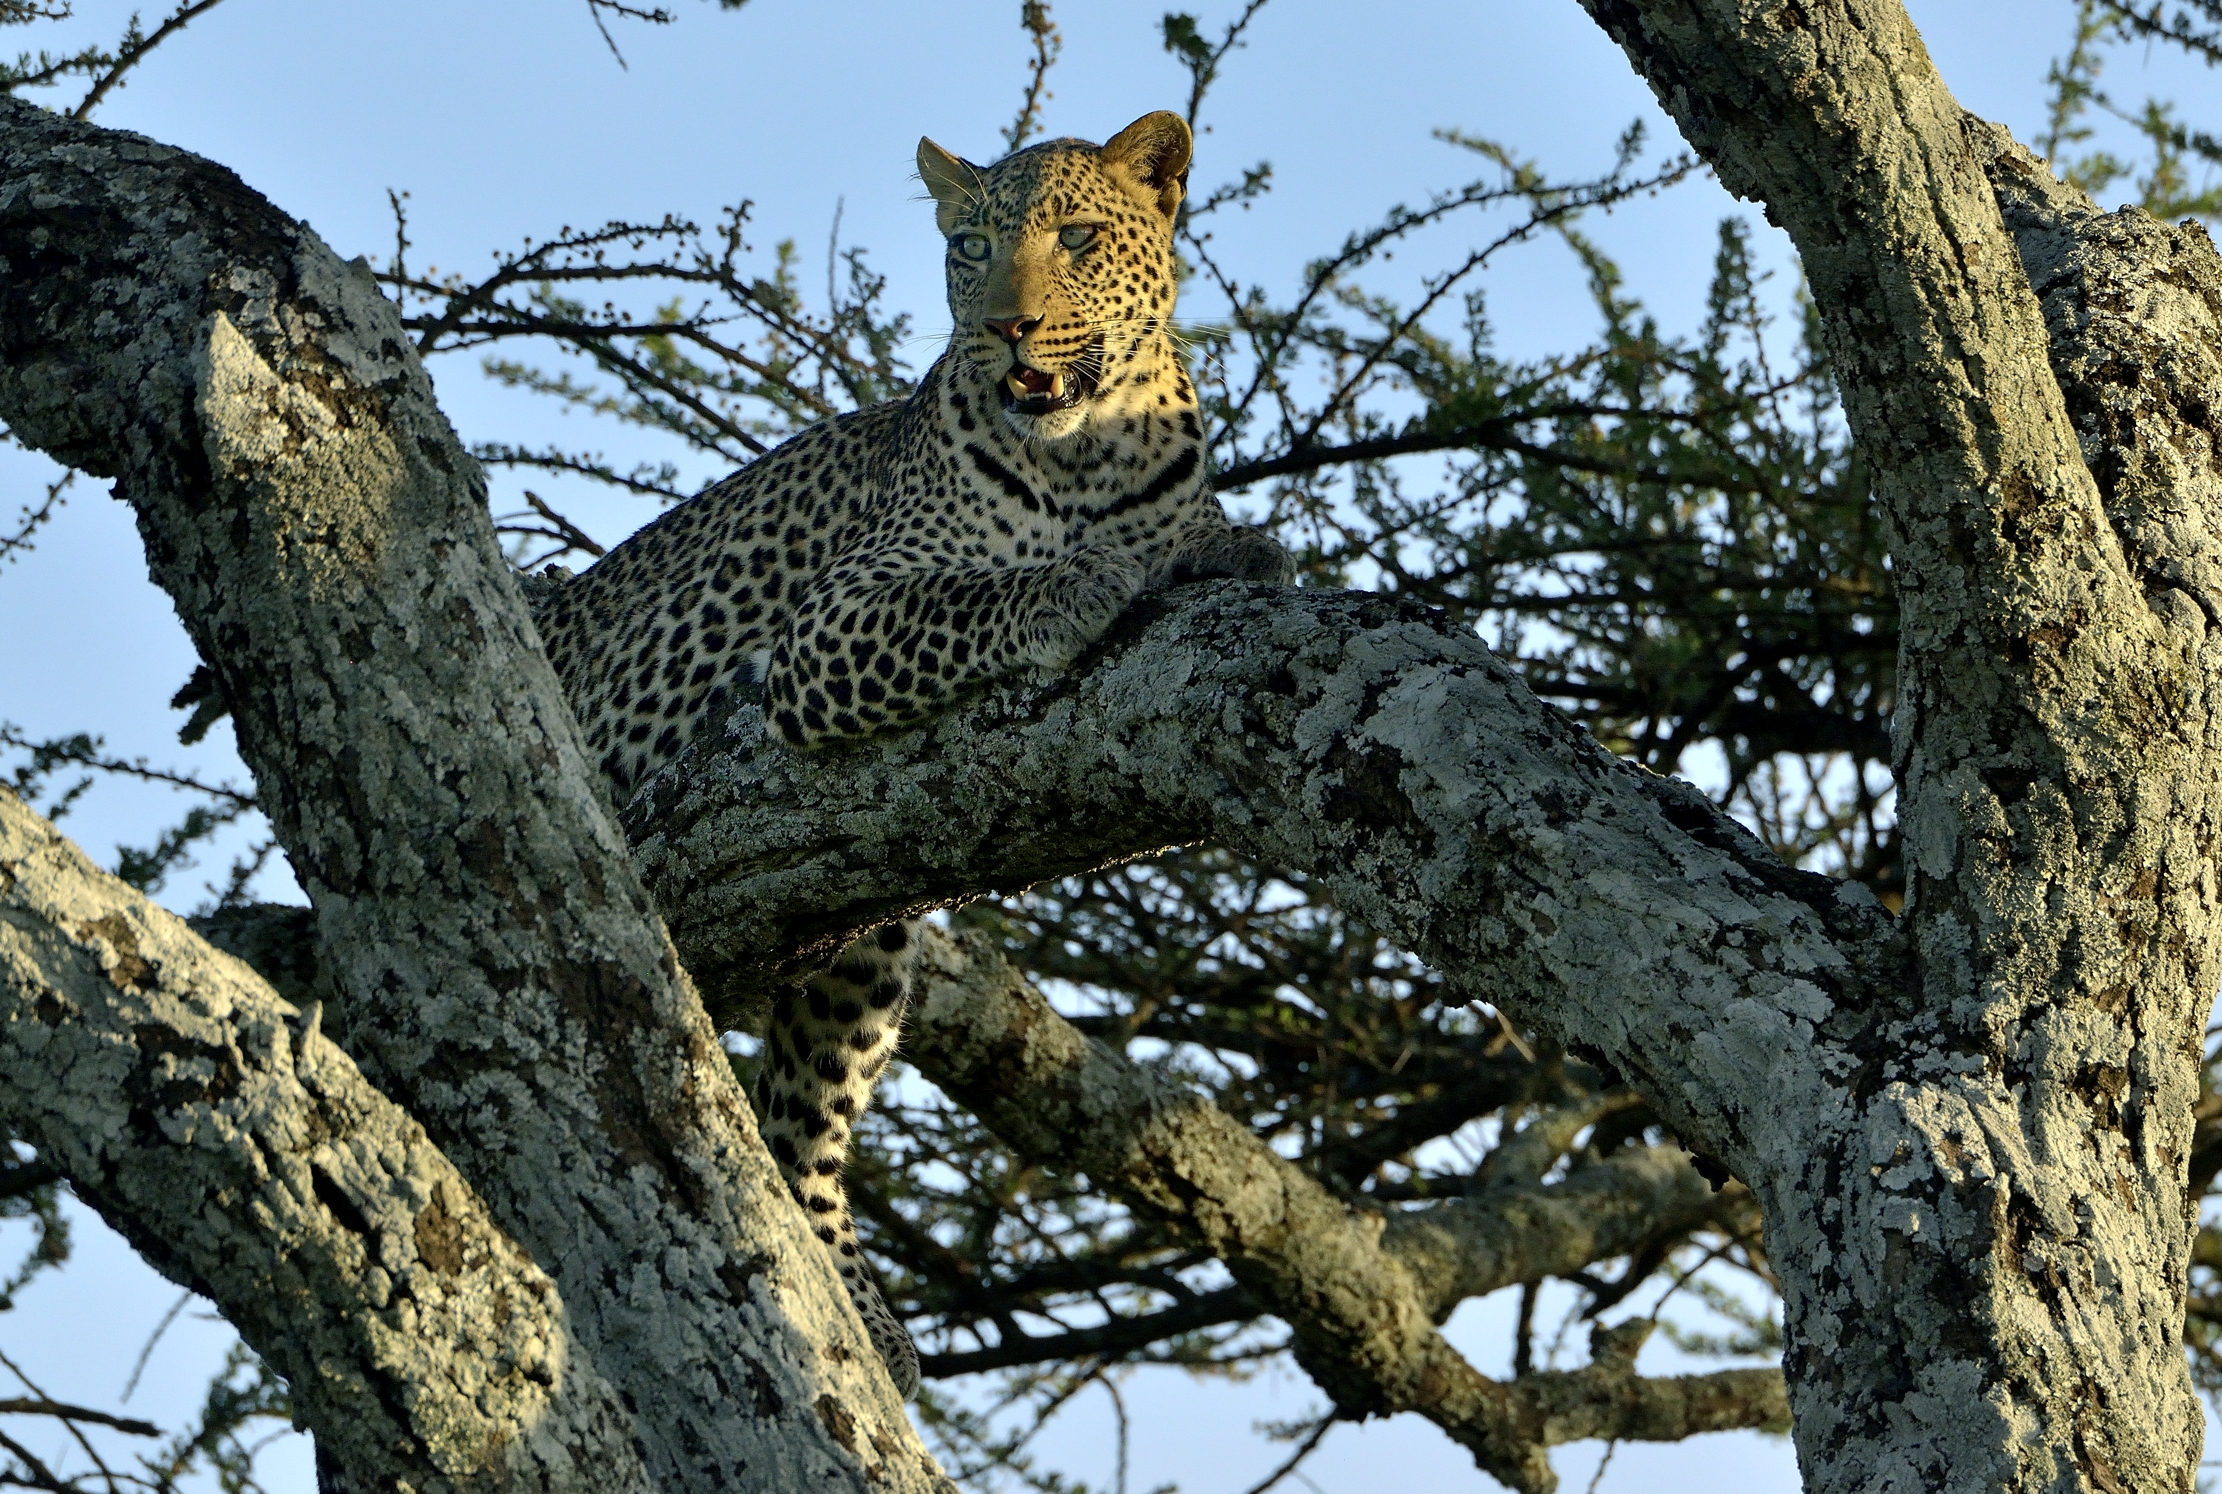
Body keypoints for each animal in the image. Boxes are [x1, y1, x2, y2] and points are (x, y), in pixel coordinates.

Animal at [525, 110, 1293, 1400]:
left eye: (1075, 238)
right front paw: (1075, 584)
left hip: (866, 937)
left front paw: (1232, 548)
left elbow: (1199, 542)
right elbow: (974, 596)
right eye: (968, 246)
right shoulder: (833, 626)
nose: (1005, 327)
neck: (1086, 455)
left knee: (799, 1130)